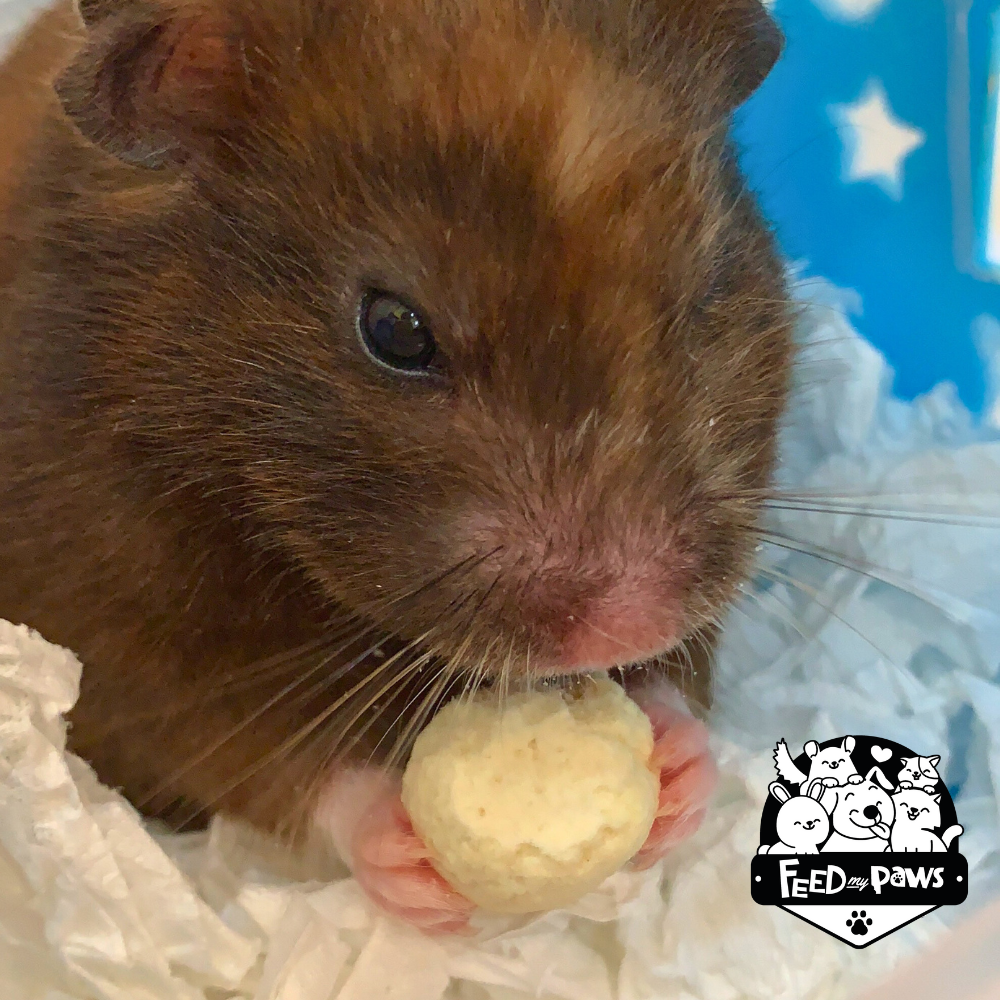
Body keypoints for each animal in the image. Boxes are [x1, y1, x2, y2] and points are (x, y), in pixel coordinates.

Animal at [0, 0, 790, 929]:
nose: (631, 624)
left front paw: (676, 771)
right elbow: (269, 756)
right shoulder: (129, 646)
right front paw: (415, 867)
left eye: (707, 283)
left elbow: (682, 683)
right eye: (393, 329)